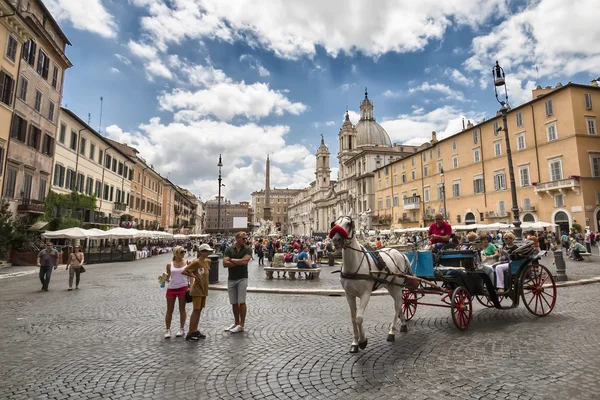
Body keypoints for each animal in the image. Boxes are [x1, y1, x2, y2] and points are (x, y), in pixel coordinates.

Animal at [328, 216, 412, 354]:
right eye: (334, 224)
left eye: (349, 224)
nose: (336, 239)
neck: (355, 263)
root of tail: (400, 253)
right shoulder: (349, 295)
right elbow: (353, 318)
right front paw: (355, 343)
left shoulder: (365, 294)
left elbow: (359, 318)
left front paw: (363, 341)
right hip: (390, 286)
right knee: (399, 304)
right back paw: (403, 325)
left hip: (397, 286)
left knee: (397, 306)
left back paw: (391, 332)